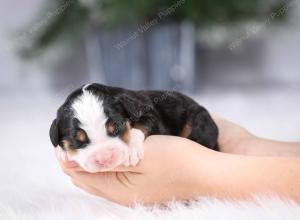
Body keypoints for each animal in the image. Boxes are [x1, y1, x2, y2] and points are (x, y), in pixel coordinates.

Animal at [49, 83, 218, 173]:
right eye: (77, 141)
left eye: (116, 128)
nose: (104, 158)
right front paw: (62, 152)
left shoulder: (150, 114)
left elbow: (139, 128)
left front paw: (131, 149)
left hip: (198, 120)